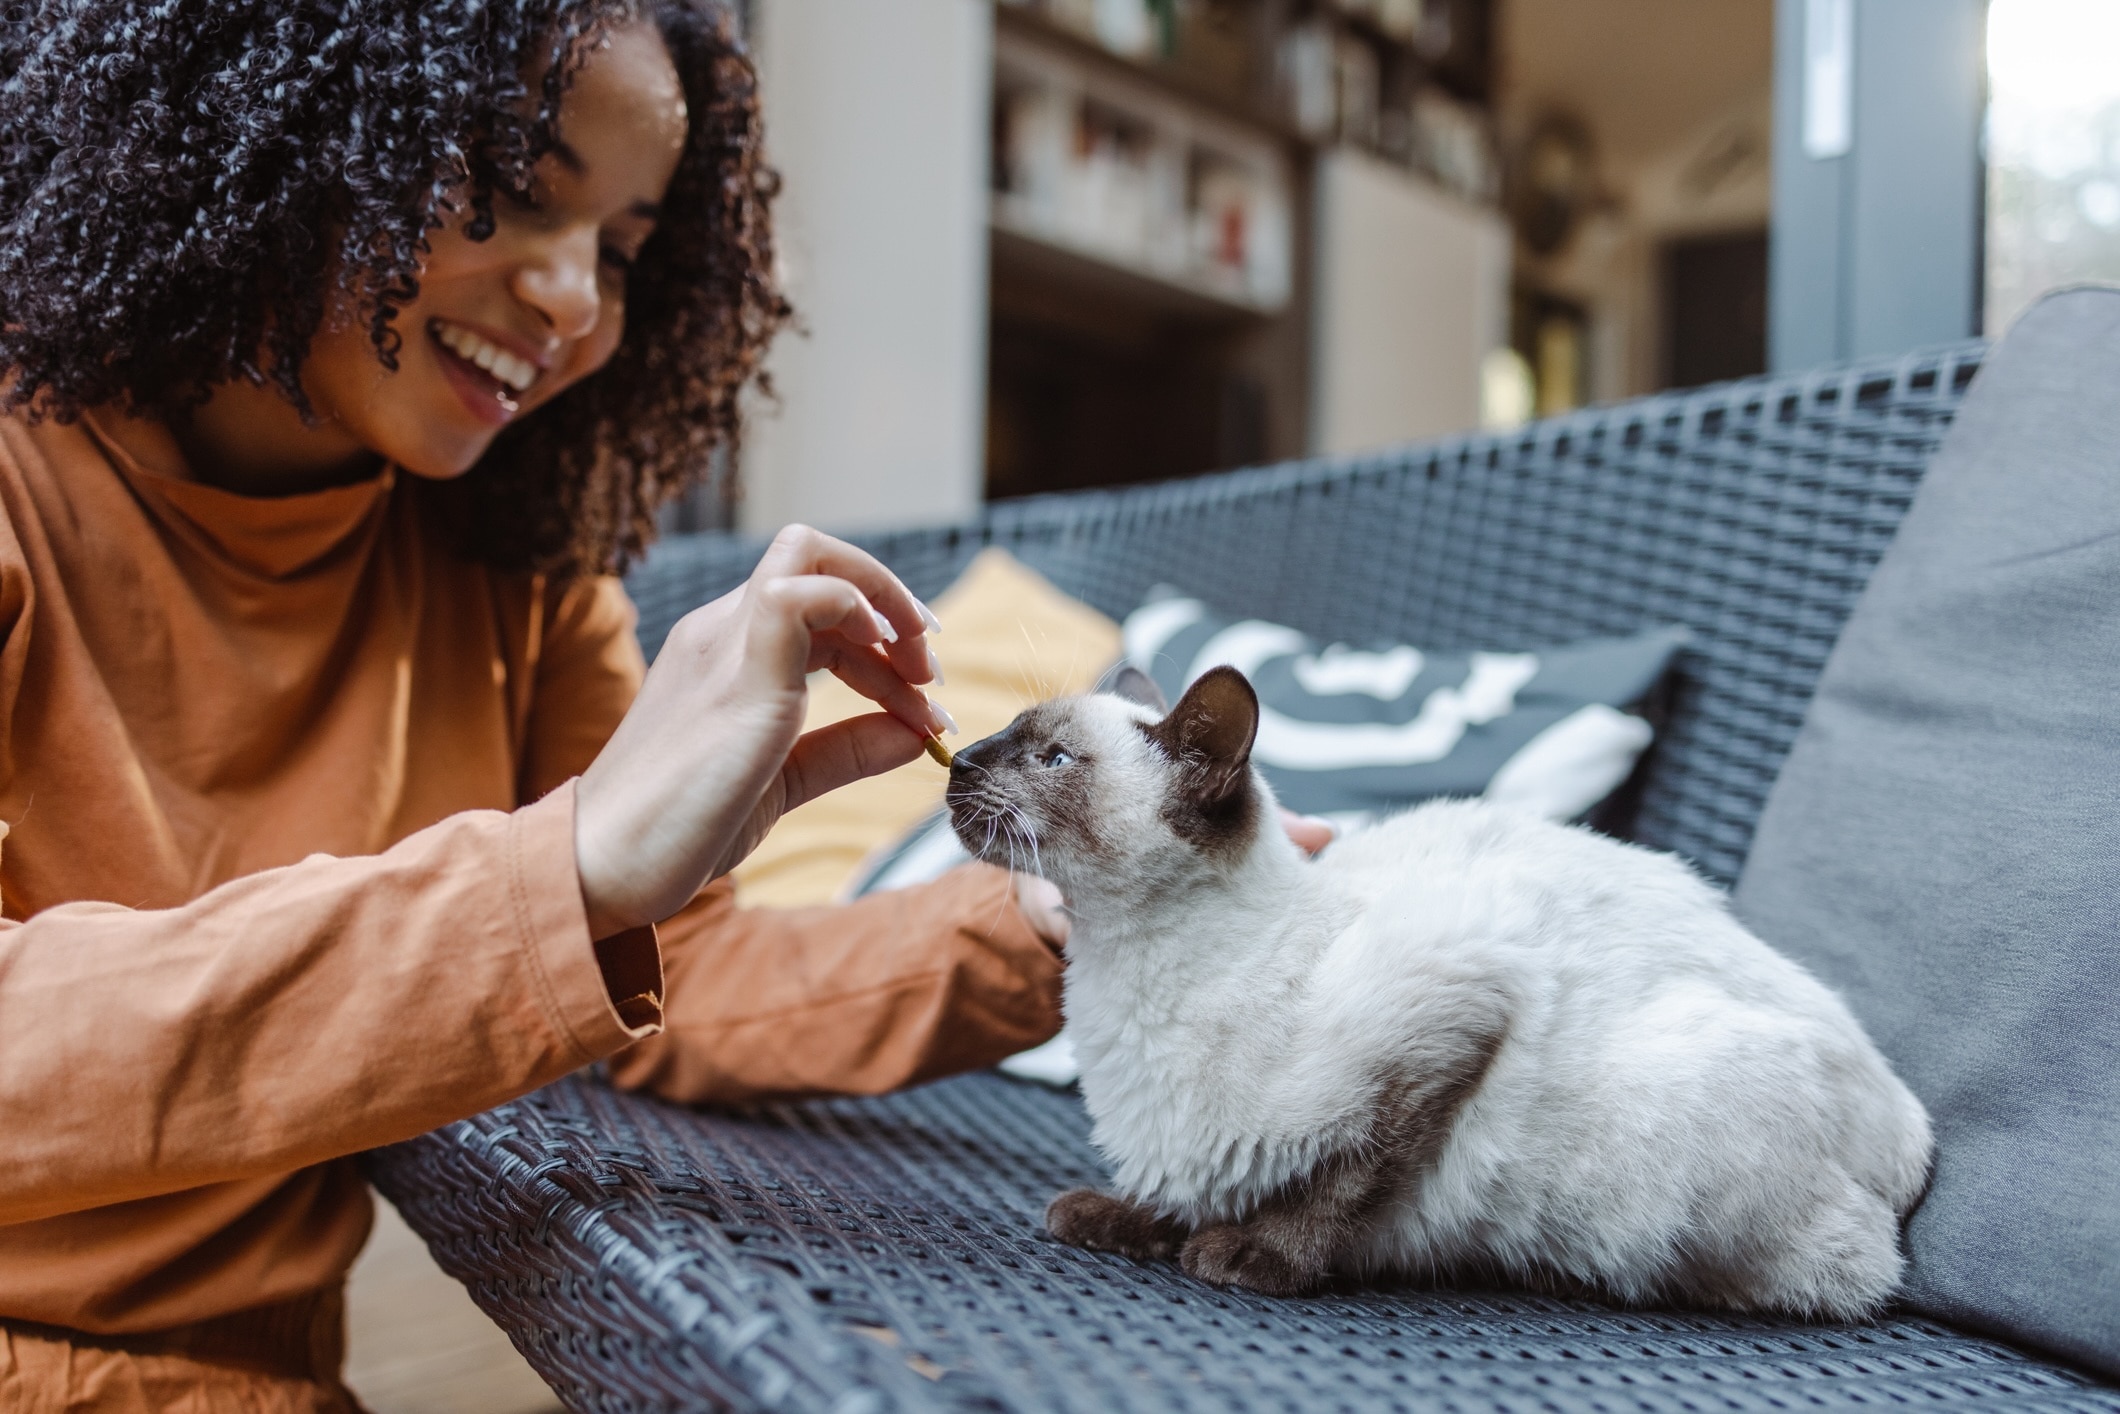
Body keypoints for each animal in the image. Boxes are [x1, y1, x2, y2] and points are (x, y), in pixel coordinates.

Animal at [953, 665, 1933, 1314]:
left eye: (1051, 760)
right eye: (1007, 739)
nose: (959, 757)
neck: (1114, 972)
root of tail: (1905, 1127)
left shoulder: (1454, 1013)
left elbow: (1337, 1186)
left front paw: (1251, 1257)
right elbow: (1187, 1190)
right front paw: (1132, 1218)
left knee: (1846, 1279)